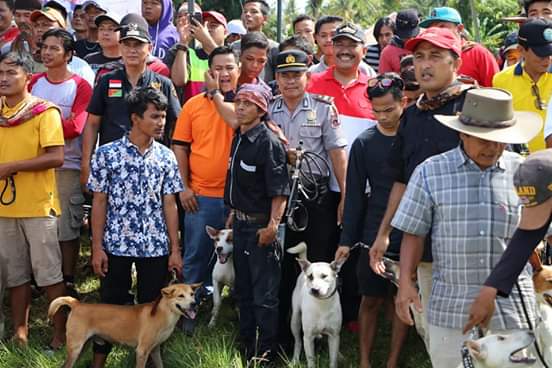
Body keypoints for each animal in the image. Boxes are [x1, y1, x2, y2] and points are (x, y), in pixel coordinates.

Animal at [48, 284, 201, 366]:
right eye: (180, 296)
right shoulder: (142, 351)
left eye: (192, 294)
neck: (163, 314)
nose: (194, 304)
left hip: (82, 347)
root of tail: (76, 303)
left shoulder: (155, 350)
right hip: (75, 348)